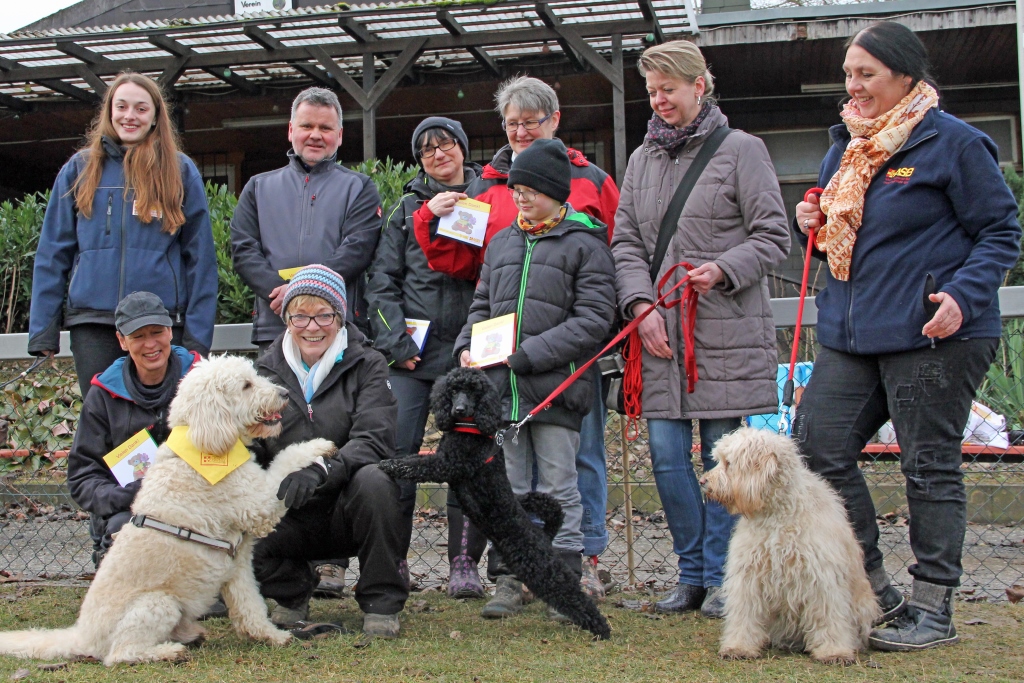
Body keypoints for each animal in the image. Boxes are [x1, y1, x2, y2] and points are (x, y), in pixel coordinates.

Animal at [0, 356, 333, 663]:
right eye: (246, 385)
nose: (284, 393)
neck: (202, 443)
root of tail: (84, 636)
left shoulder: (238, 563)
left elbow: (250, 605)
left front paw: (270, 635)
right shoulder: (259, 505)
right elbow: (286, 460)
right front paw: (318, 445)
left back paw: (189, 635)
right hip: (158, 604)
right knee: (120, 654)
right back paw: (167, 651)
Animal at [704, 430, 880, 663]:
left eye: (729, 463)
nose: (703, 481)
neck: (776, 514)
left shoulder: (822, 576)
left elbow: (829, 615)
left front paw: (834, 650)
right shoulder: (749, 575)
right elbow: (745, 614)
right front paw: (738, 646)